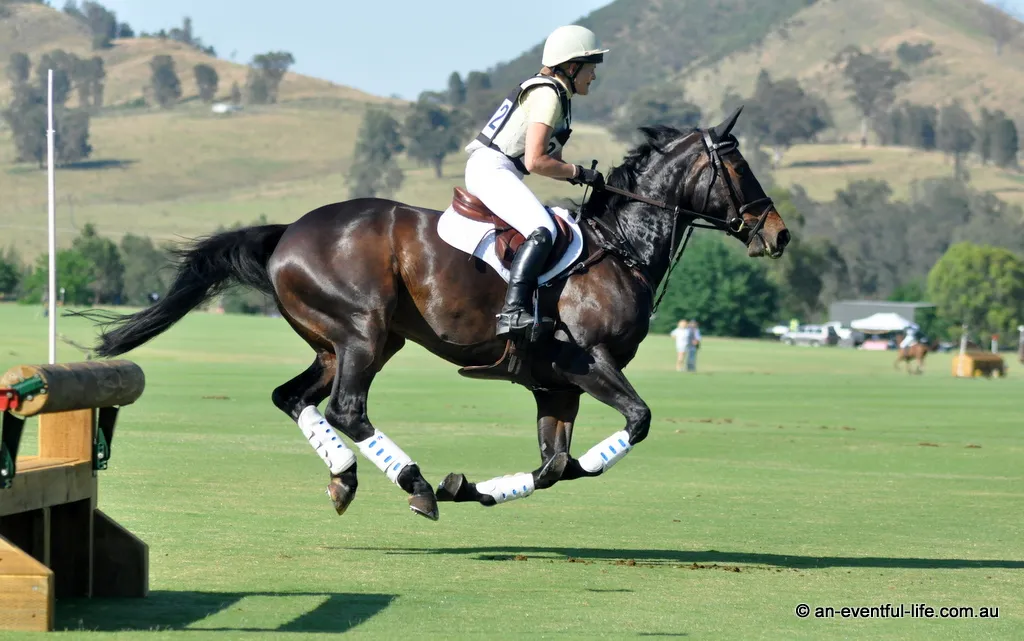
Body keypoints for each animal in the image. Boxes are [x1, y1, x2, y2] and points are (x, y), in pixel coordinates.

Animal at [82, 108, 789, 521]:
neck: (620, 249)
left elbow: (554, 466)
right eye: (738, 164)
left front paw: (474, 488)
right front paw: (455, 486)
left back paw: (346, 479)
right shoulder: (586, 362)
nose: (776, 233)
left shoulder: (555, 385)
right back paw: (414, 484)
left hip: (343, 343)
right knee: (347, 408)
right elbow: (634, 423)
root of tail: (288, 233)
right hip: (363, 332)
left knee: (293, 397)